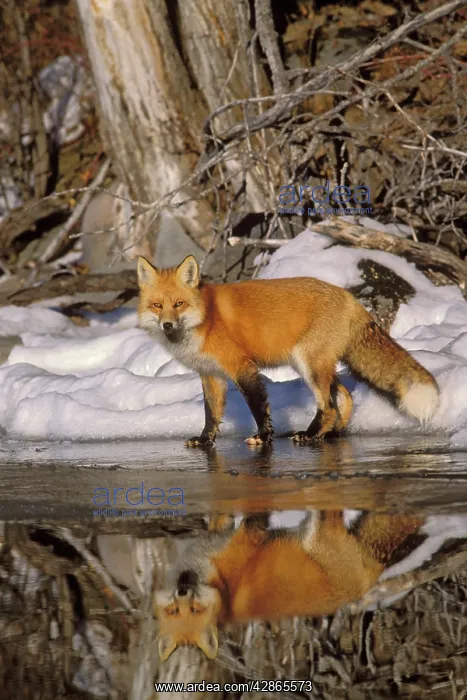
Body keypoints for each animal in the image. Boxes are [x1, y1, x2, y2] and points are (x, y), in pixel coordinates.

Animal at [137, 255, 439, 446]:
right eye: (157, 305)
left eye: (178, 304)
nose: (166, 324)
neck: (206, 319)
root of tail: (348, 295)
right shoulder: (210, 374)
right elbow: (211, 413)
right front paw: (204, 440)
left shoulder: (242, 367)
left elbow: (258, 406)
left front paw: (263, 437)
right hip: (319, 366)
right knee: (346, 397)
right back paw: (332, 434)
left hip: (308, 366)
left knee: (328, 406)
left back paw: (310, 434)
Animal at [153, 510, 423, 661]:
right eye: (176, 611)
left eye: (193, 609)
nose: (183, 590)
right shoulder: (243, 538)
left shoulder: (234, 538)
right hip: (322, 527)